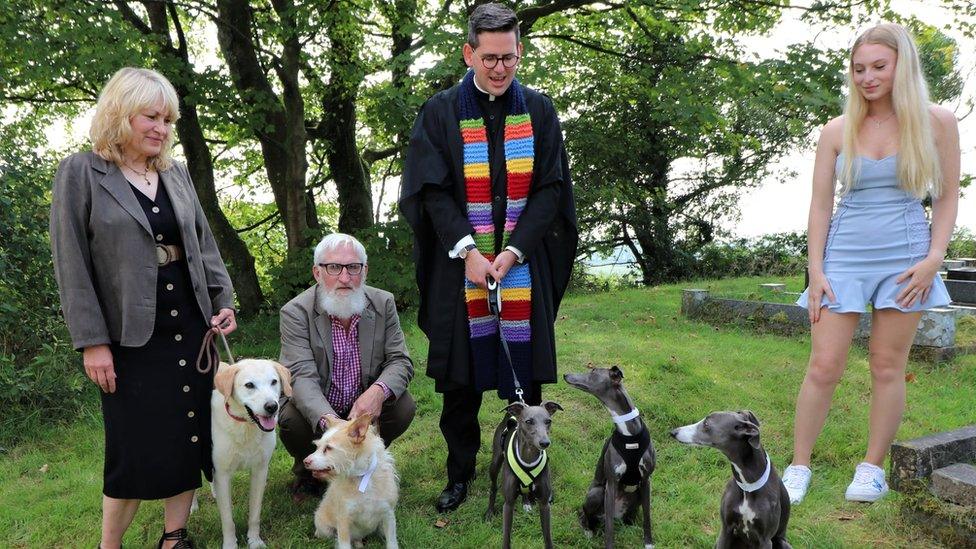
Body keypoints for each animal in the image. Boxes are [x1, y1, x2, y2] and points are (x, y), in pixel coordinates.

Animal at [212, 360, 292, 548]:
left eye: (274, 382)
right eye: (249, 385)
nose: (272, 407)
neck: (245, 425)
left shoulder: (260, 470)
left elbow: (255, 514)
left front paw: (254, 541)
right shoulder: (223, 474)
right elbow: (227, 520)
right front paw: (230, 544)